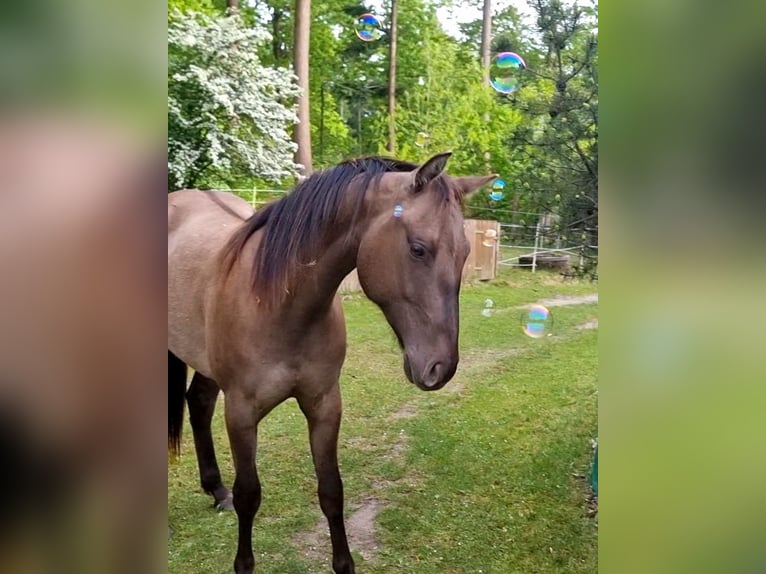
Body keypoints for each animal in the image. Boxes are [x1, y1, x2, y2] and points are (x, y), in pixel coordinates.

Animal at [168, 152, 495, 574]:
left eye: (466, 253)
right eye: (418, 248)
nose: (441, 367)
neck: (281, 303)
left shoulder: (324, 405)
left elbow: (331, 491)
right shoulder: (241, 413)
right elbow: (249, 495)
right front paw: (243, 563)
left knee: (199, 403)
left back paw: (215, 489)